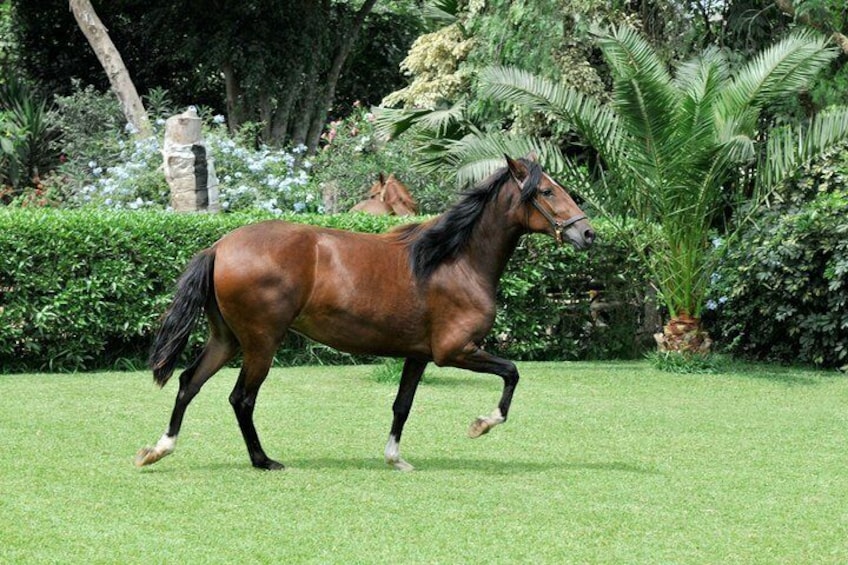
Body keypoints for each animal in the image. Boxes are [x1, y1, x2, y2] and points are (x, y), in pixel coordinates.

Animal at [135, 154, 594, 471]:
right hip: (261, 342)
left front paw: (396, 459)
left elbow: (402, 405)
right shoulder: (455, 351)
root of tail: (219, 246)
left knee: (188, 383)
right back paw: (263, 460)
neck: (453, 261)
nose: (587, 233)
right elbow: (512, 372)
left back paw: (157, 450)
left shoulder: (418, 355)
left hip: (227, 339)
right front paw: (481, 424)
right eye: (548, 191)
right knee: (241, 398)